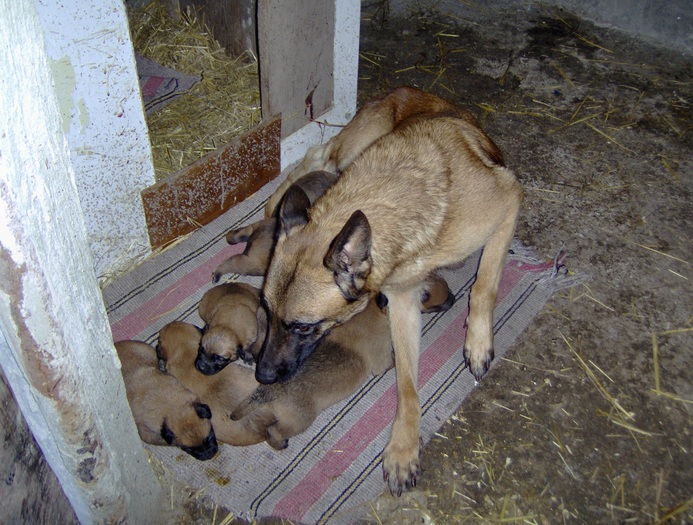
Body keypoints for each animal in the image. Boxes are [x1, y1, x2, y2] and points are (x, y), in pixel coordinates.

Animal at [253, 85, 520, 492]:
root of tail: (401, 90)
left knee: (318, 153)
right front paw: (404, 448)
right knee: (318, 153)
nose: (262, 376)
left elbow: (485, 284)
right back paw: (275, 202)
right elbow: (407, 385)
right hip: (352, 147)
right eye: (265, 312)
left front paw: (477, 342)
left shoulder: (510, 199)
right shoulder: (402, 301)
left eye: (303, 326)